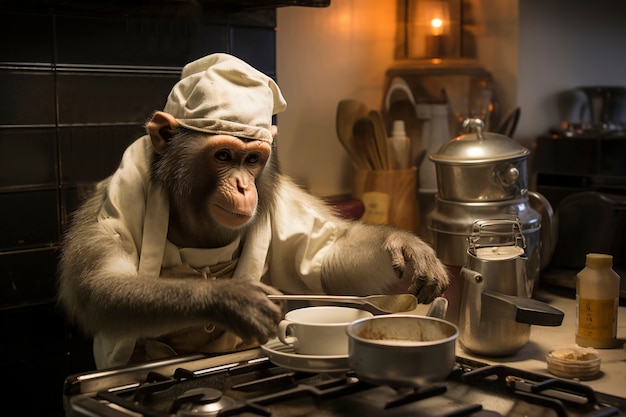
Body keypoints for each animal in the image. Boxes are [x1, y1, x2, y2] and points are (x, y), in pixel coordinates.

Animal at [57, 53, 448, 368]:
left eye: (253, 160)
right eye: (224, 156)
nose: (244, 186)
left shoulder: (282, 196)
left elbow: (329, 261)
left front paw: (407, 245)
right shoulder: (110, 205)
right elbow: (102, 284)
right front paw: (230, 300)